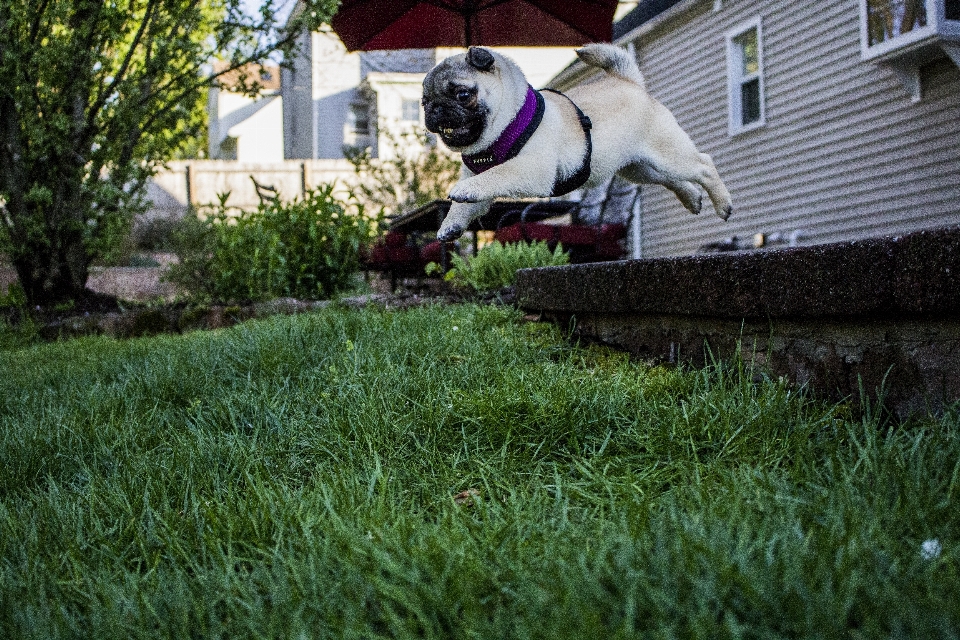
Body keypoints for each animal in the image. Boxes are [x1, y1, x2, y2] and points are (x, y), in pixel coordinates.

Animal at [422, 43, 736, 242]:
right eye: (424, 102)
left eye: (462, 95)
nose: (434, 110)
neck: (506, 125)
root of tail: (630, 83)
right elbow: (465, 205)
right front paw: (451, 225)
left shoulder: (531, 169)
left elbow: (495, 175)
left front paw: (465, 190)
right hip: (639, 168)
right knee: (673, 180)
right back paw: (692, 198)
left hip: (668, 154)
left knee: (704, 165)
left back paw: (723, 205)